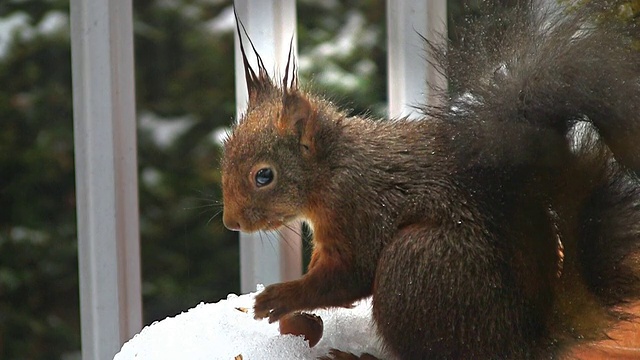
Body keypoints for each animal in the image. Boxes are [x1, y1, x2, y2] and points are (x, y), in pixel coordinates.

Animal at [221, 2, 640, 360]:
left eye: (264, 175)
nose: (231, 222)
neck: (333, 168)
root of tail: (524, 342)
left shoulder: (360, 210)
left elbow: (348, 276)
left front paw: (278, 298)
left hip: (418, 265)